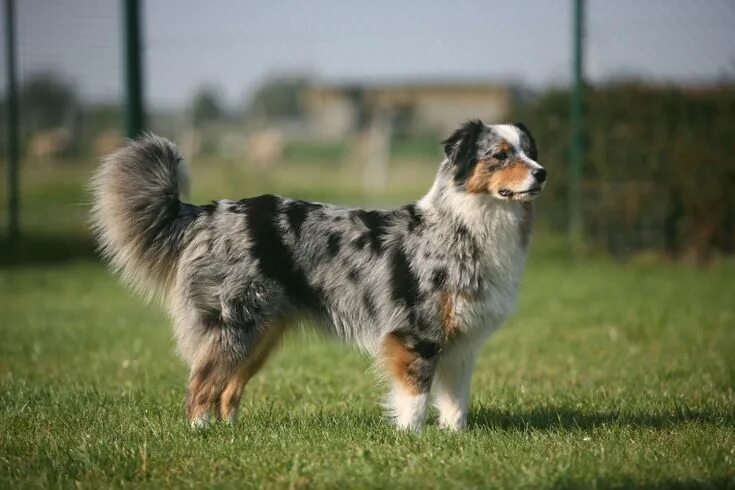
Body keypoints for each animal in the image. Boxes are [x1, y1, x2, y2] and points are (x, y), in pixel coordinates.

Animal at [90, 120, 548, 430]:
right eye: (500, 155)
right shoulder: (417, 335)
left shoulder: (462, 344)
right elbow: (415, 398)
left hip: (262, 333)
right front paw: (412, 440)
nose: (542, 172)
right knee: (201, 384)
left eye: (530, 151)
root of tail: (206, 212)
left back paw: (231, 432)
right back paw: (201, 431)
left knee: (229, 388)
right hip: (233, 325)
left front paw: (454, 439)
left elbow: (455, 403)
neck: (469, 225)